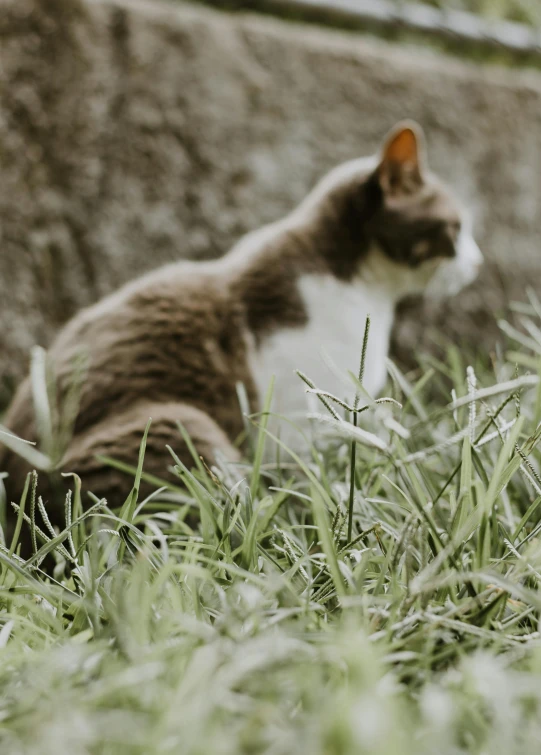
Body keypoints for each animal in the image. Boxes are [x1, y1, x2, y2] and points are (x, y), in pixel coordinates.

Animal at [0, 119, 480, 532]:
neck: (372, 297)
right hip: (179, 425)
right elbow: (310, 478)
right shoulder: (304, 417)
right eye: (456, 228)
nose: (478, 262)